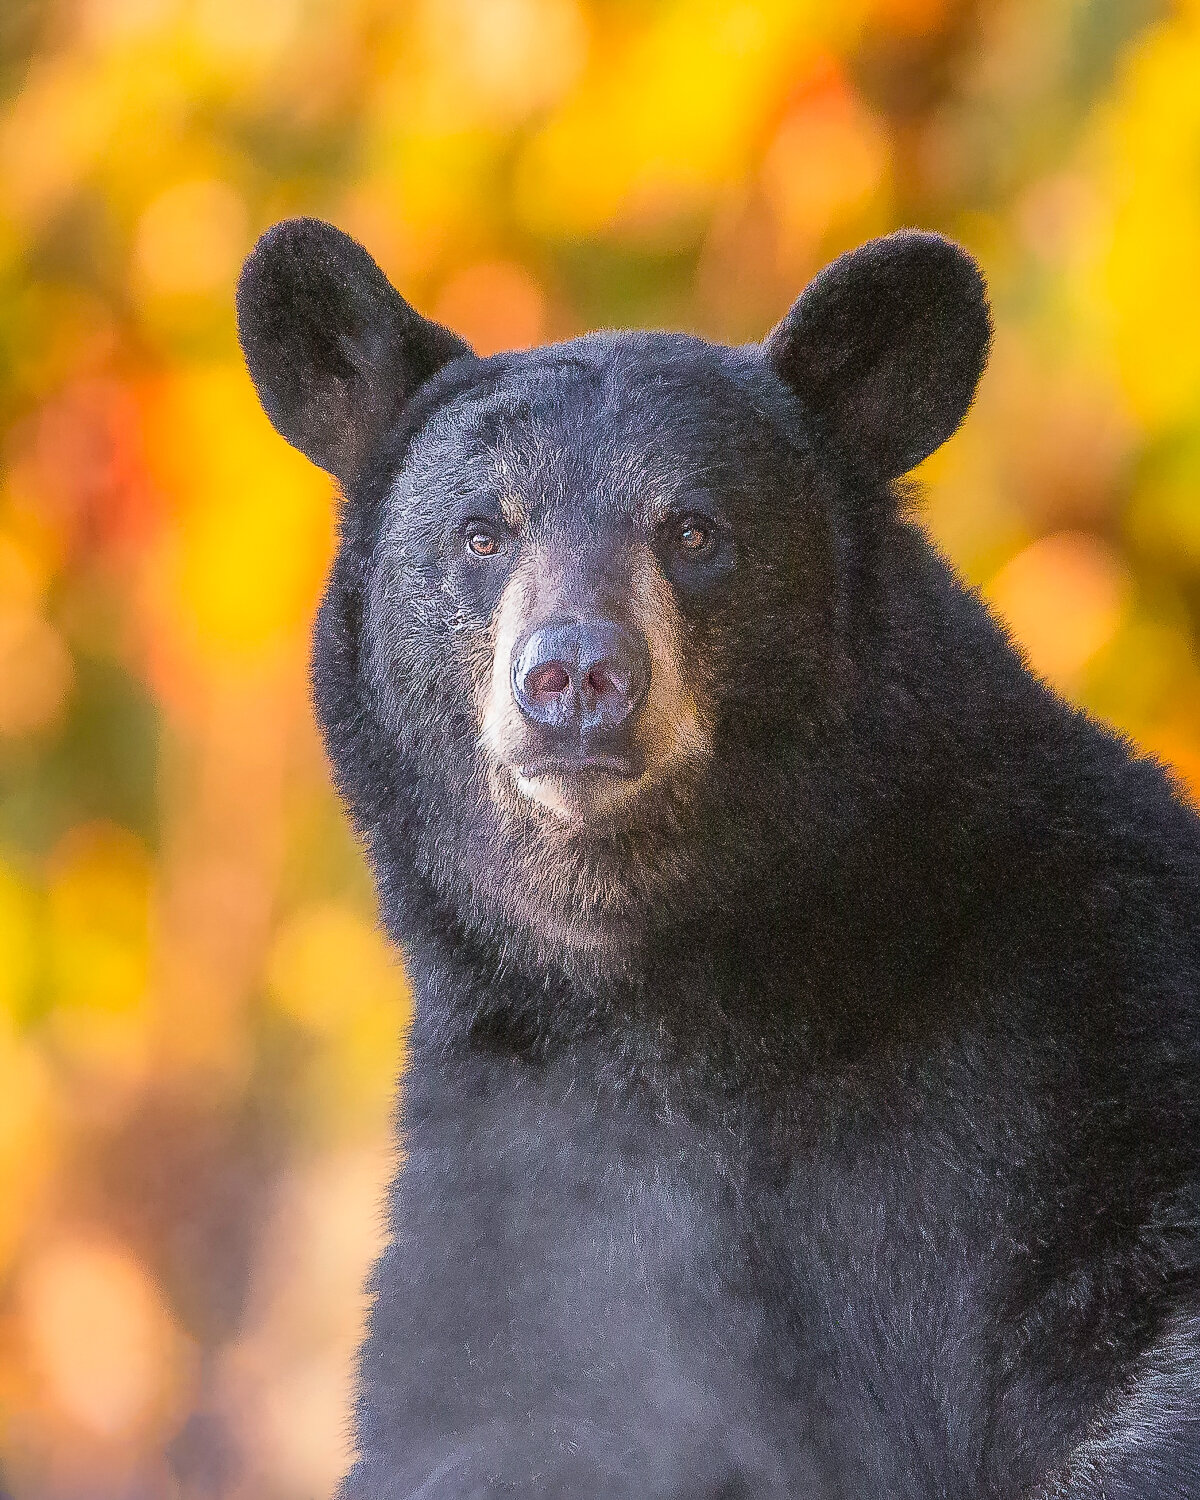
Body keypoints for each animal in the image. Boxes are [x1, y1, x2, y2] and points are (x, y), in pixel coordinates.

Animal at [236, 219, 1200, 1499]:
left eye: (694, 531)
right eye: (483, 531)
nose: (576, 676)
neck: (690, 997)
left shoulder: (1091, 1025)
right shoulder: (515, 1167)